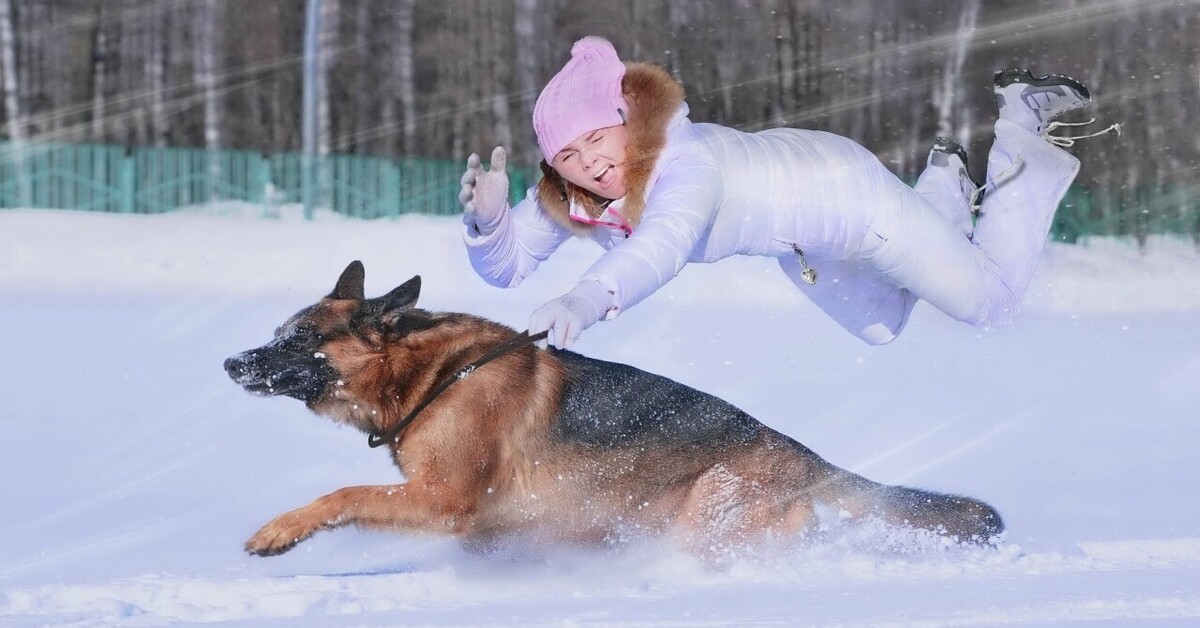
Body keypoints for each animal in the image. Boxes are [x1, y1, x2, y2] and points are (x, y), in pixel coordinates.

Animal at [223, 262, 1003, 557]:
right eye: (276, 333)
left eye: (296, 339)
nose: (230, 363)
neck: (434, 376)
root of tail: (806, 456)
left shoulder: (446, 499)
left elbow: (344, 493)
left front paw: (280, 531)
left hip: (703, 518)